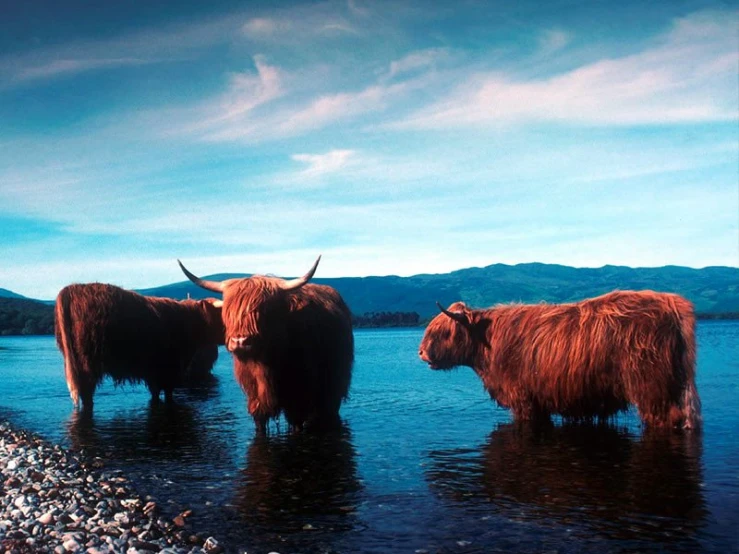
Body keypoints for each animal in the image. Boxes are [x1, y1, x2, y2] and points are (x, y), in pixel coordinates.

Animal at [54, 282, 224, 408]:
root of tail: (71, 290)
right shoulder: (170, 370)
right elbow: (168, 393)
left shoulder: (155, 374)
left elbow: (155, 394)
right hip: (87, 364)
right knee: (87, 394)